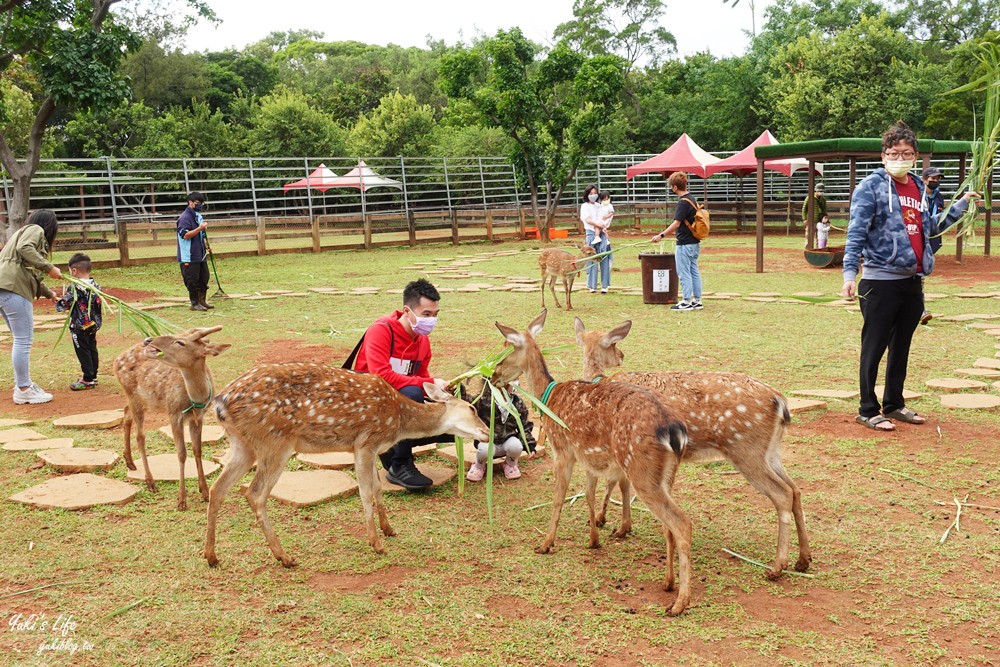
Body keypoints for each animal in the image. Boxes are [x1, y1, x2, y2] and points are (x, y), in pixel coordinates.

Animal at [114, 328, 231, 512]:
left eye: (181, 342)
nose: (148, 340)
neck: (196, 399)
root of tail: (117, 358)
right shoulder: (174, 413)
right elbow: (181, 454)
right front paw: (181, 500)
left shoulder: (198, 417)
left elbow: (197, 450)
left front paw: (204, 492)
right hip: (132, 394)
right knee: (140, 436)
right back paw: (150, 482)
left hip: (141, 400)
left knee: (126, 413)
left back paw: (130, 462)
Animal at [202, 366, 488, 568]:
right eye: (472, 408)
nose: (487, 433)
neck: (397, 421)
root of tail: (220, 403)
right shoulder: (365, 443)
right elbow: (365, 491)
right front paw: (376, 544)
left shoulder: (369, 449)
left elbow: (377, 488)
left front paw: (389, 529)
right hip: (275, 442)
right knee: (255, 493)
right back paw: (285, 557)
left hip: (243, 445)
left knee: (219, 489)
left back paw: (212, 556)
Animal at [492, 310, 696, 616]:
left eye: (505, 351)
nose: (492, 375)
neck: (548, 397)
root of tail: (675, 431)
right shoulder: (588, 457)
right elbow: (589, 494)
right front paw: (594, 539)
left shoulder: (563, 450)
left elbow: (559, 497)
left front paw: (545, 544)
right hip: (666, 475)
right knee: (668, 525)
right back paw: (668, 584)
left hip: (642, 470)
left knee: (681, 523)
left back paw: (680, 603)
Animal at [572, 318, 812, 580]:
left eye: (614, 344)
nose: (622, 355)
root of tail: (780, 402)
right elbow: (622, 484)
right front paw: (620, 525)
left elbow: (614, 482)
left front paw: (606, 521)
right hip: (771, 451)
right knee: (796, 490)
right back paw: (803, 560)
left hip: (746, 449)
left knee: (782, 493)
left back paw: (777, 567)